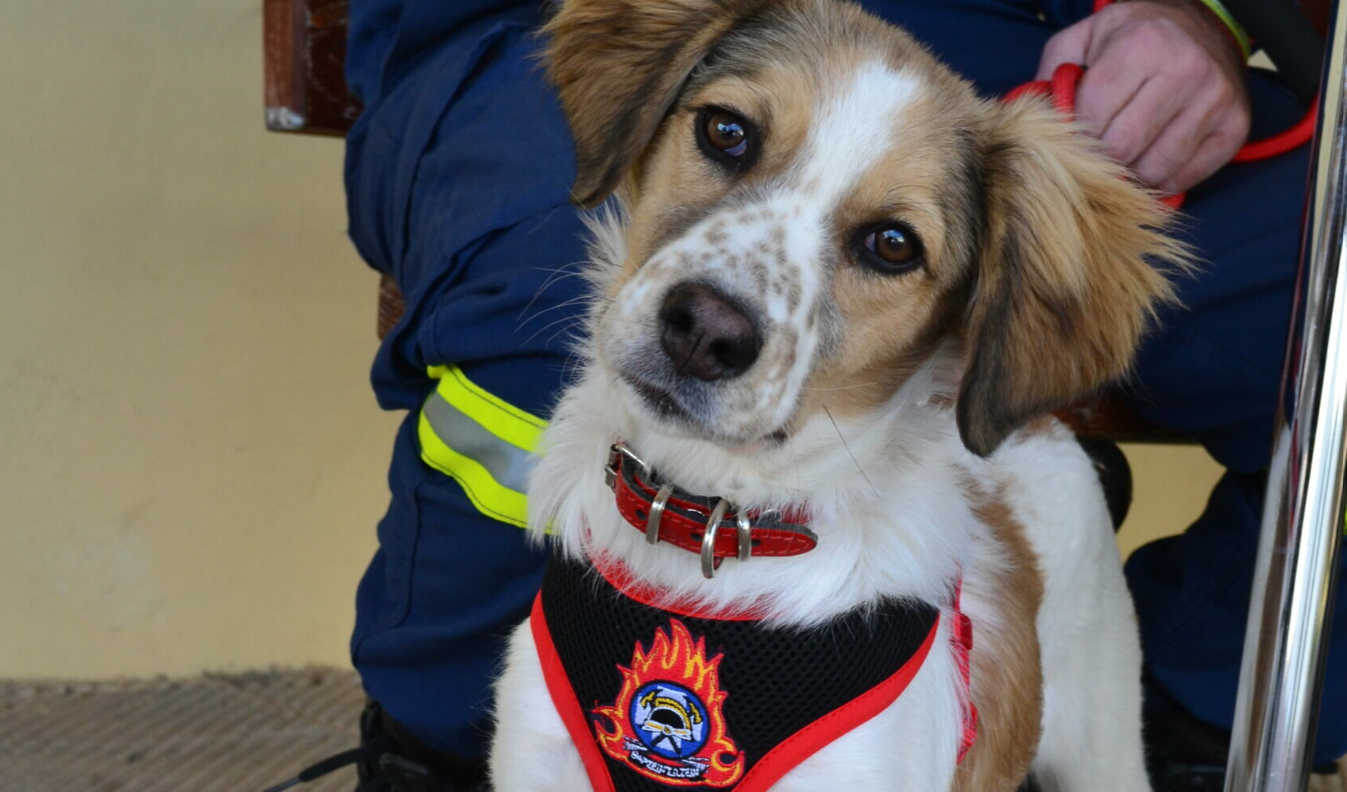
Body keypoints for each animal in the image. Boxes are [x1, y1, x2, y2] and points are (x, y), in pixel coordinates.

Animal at [490, 1, 1185, 792]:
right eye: (726, 131)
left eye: (892, 244)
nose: (705, 331)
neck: (710, 521)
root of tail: (1044, 422)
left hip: (1104, 742)